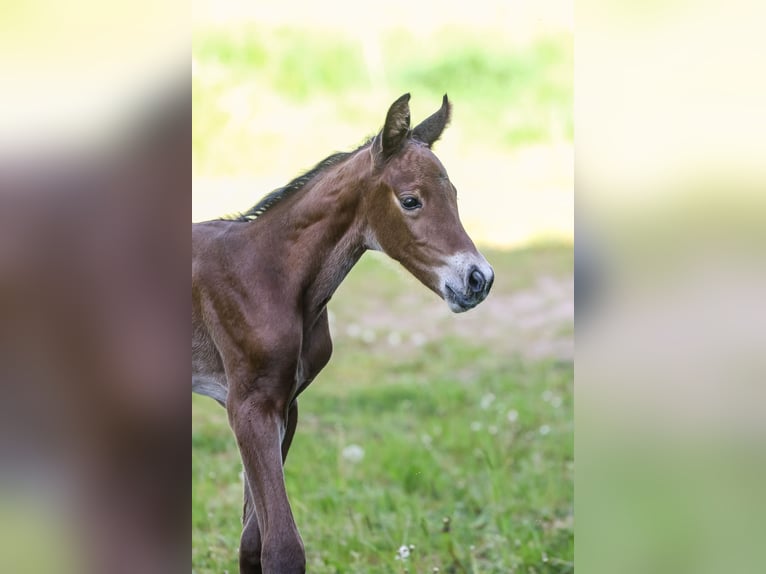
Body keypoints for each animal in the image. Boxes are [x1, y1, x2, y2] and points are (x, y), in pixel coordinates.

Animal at [194, 95, 498, 574]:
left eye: (454, 195)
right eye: (410, 200)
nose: (478, 280)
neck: (268, 271)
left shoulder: (285, 404)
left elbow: (251, 541)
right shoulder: (248, 406)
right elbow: (282, 547)